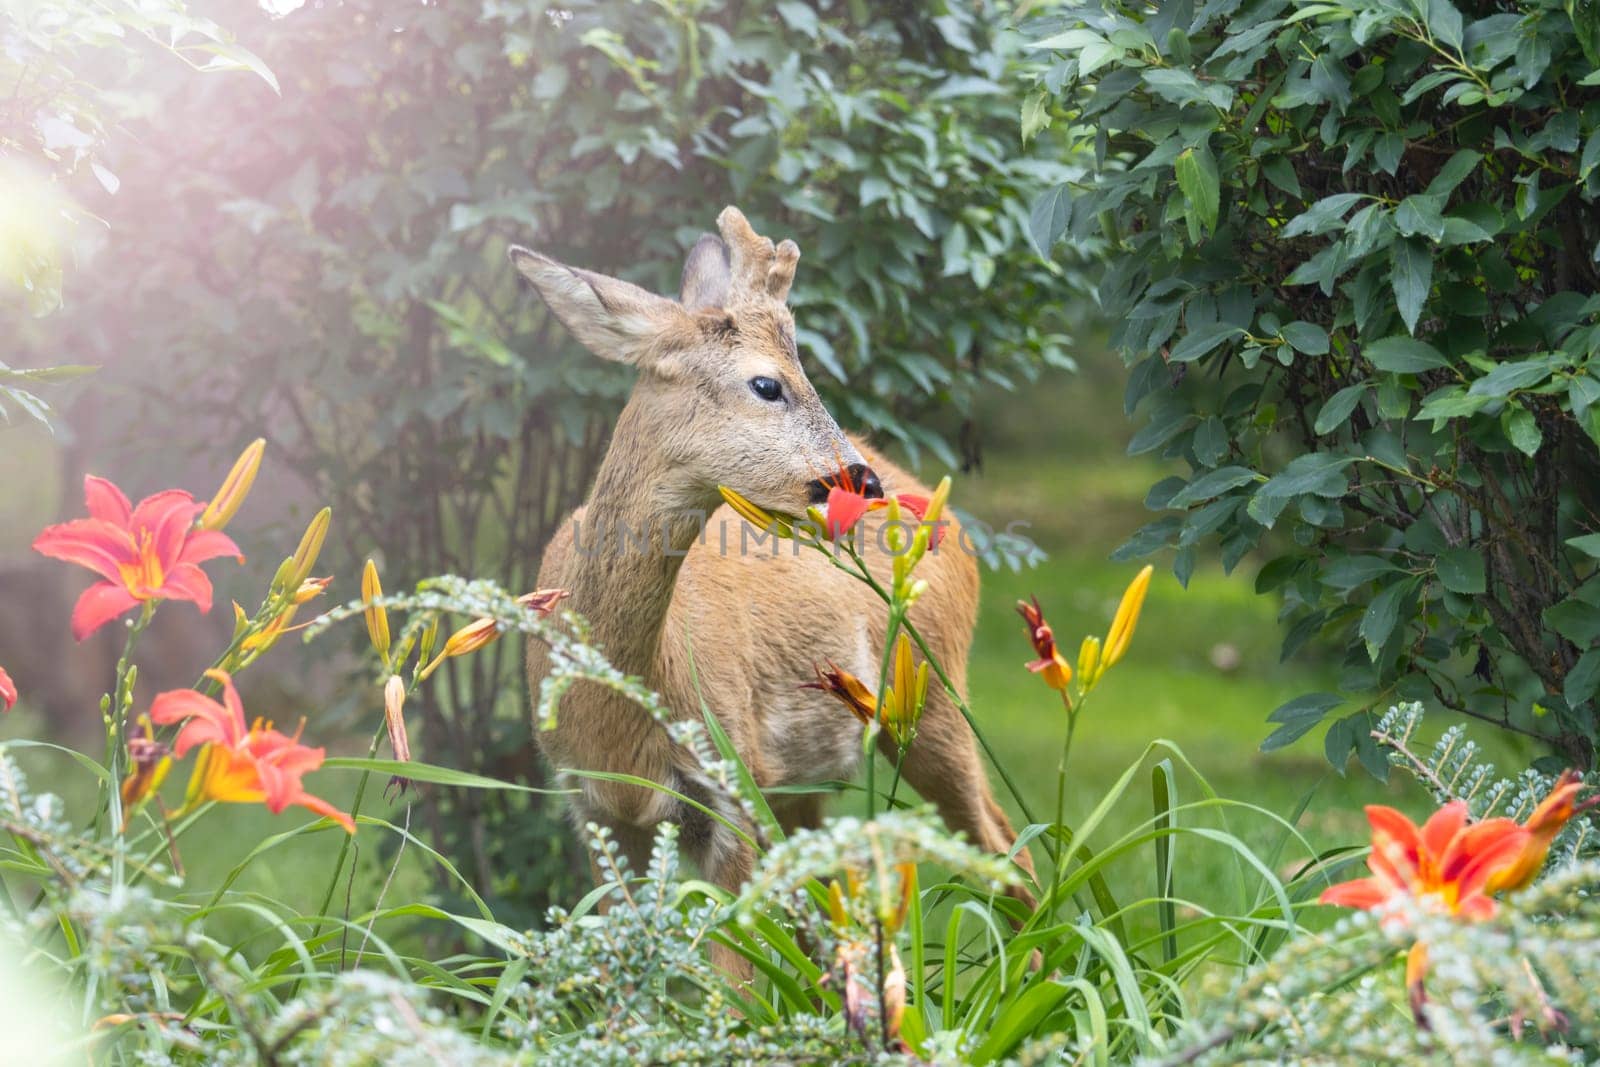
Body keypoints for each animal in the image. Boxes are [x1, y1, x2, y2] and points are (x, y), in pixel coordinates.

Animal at [512, 206, 1036, 966]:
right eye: (768, 384)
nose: (858, 481)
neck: (621, 710)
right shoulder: (596, 810)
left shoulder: (733, 782)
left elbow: (735, 979)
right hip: (811, 780)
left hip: (932, 690)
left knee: (1009, 851)